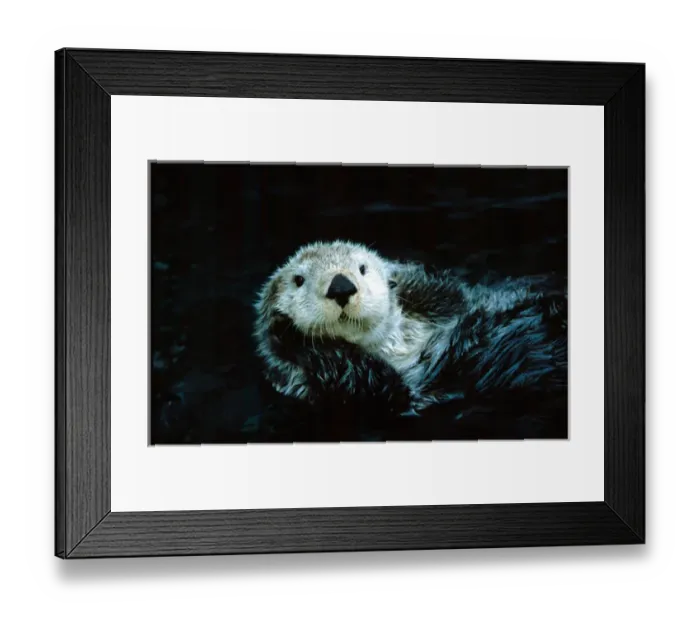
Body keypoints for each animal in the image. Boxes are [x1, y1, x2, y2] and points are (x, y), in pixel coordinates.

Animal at [254, 240, 567, 419]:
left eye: (363, 268)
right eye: (298, 280)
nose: (341, 286)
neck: (398, 341)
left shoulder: (456, 300)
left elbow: (454, 294)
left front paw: (401, 275)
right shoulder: (352, 392)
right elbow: (379, 383)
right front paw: (286, 331)